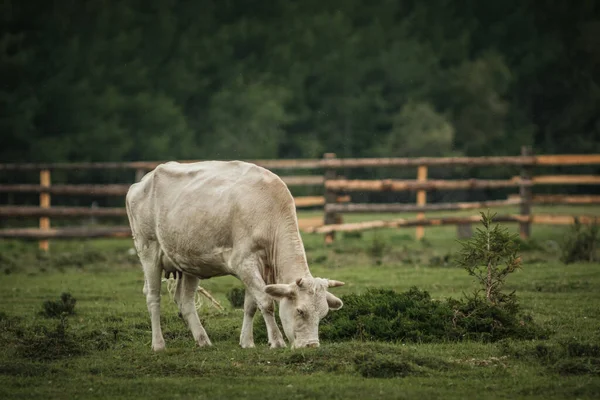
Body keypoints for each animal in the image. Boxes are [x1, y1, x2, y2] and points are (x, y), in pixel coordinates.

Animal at [124, 159, 344, 350]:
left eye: (323, 314)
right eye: (300, 311)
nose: (312, 345)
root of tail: (142, 181)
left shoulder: (257, 268)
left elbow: (251, 305)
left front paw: (247, 342)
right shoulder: (244, 263)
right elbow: (266, 303)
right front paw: (277, 341)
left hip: (189, 262)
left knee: (185, 301)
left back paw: (203, 340)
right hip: (149, 251)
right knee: (153, 297)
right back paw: (159, 344)